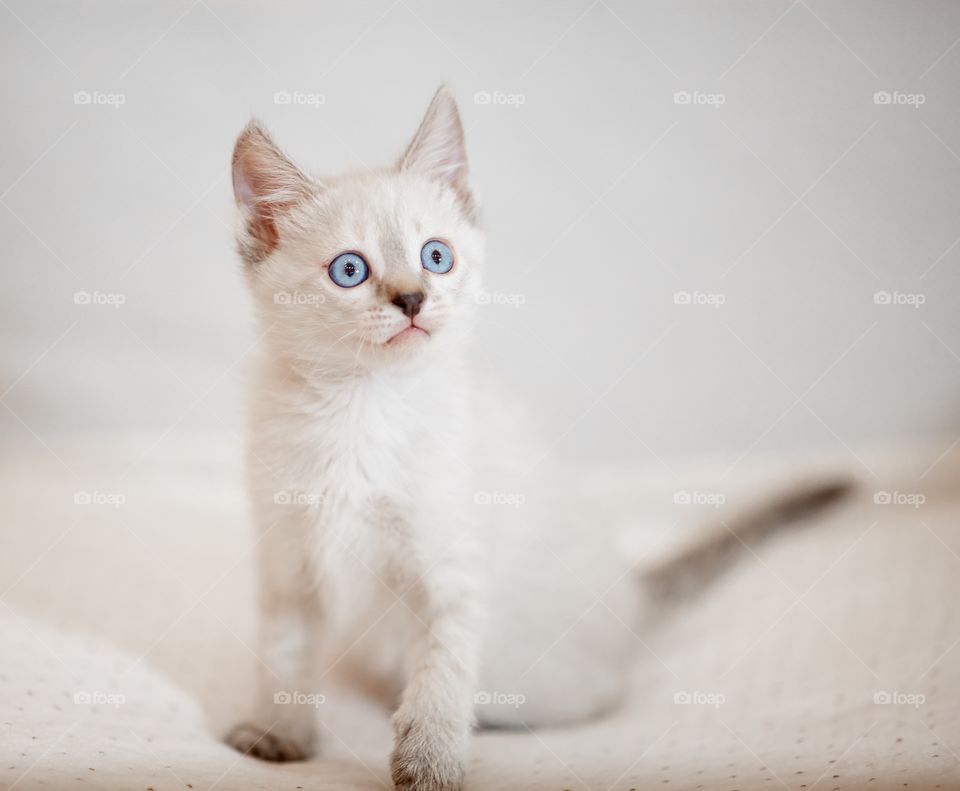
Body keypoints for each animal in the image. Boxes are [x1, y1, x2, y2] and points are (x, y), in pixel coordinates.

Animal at [227, 86, 856, 791]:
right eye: (350, 270)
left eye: (436, 257)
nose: (413, 299)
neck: (362, 407)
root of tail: (631, 591)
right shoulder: (287, 564)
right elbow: (284, 657)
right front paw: (277, 736)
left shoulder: (451, 572)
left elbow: (442, 675)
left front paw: (429, 765)